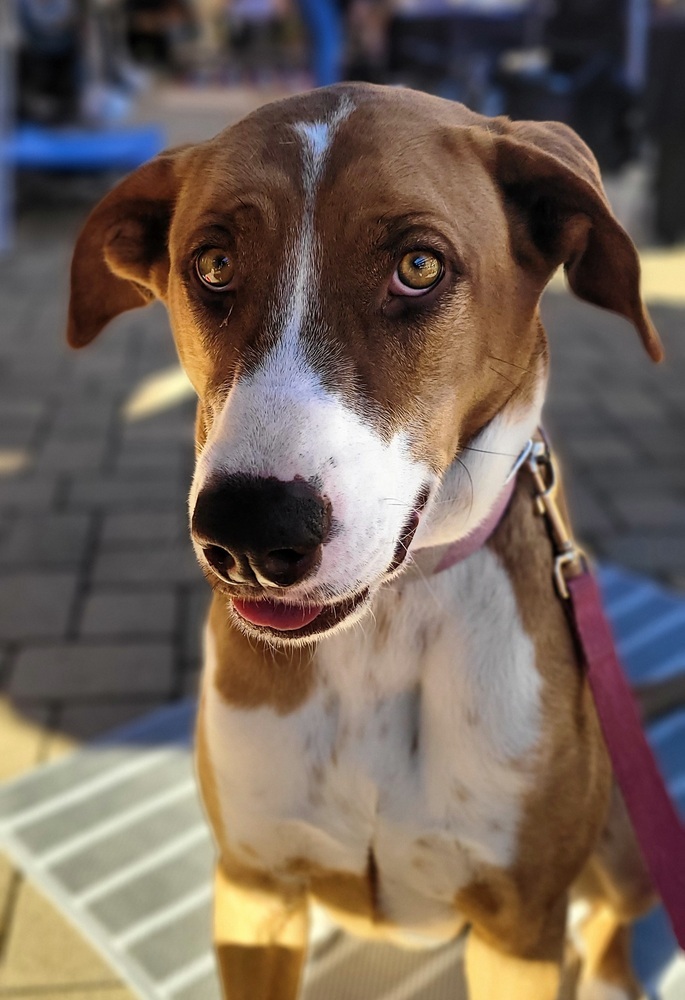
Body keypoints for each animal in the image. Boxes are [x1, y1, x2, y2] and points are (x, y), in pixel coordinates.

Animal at [67, 84, 660, 1000]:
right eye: (213, 265)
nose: (249, 531)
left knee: (611, 923)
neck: (389, 619)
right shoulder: (254, 888)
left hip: (625, 850)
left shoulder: (521, 930)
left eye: (418, 268)